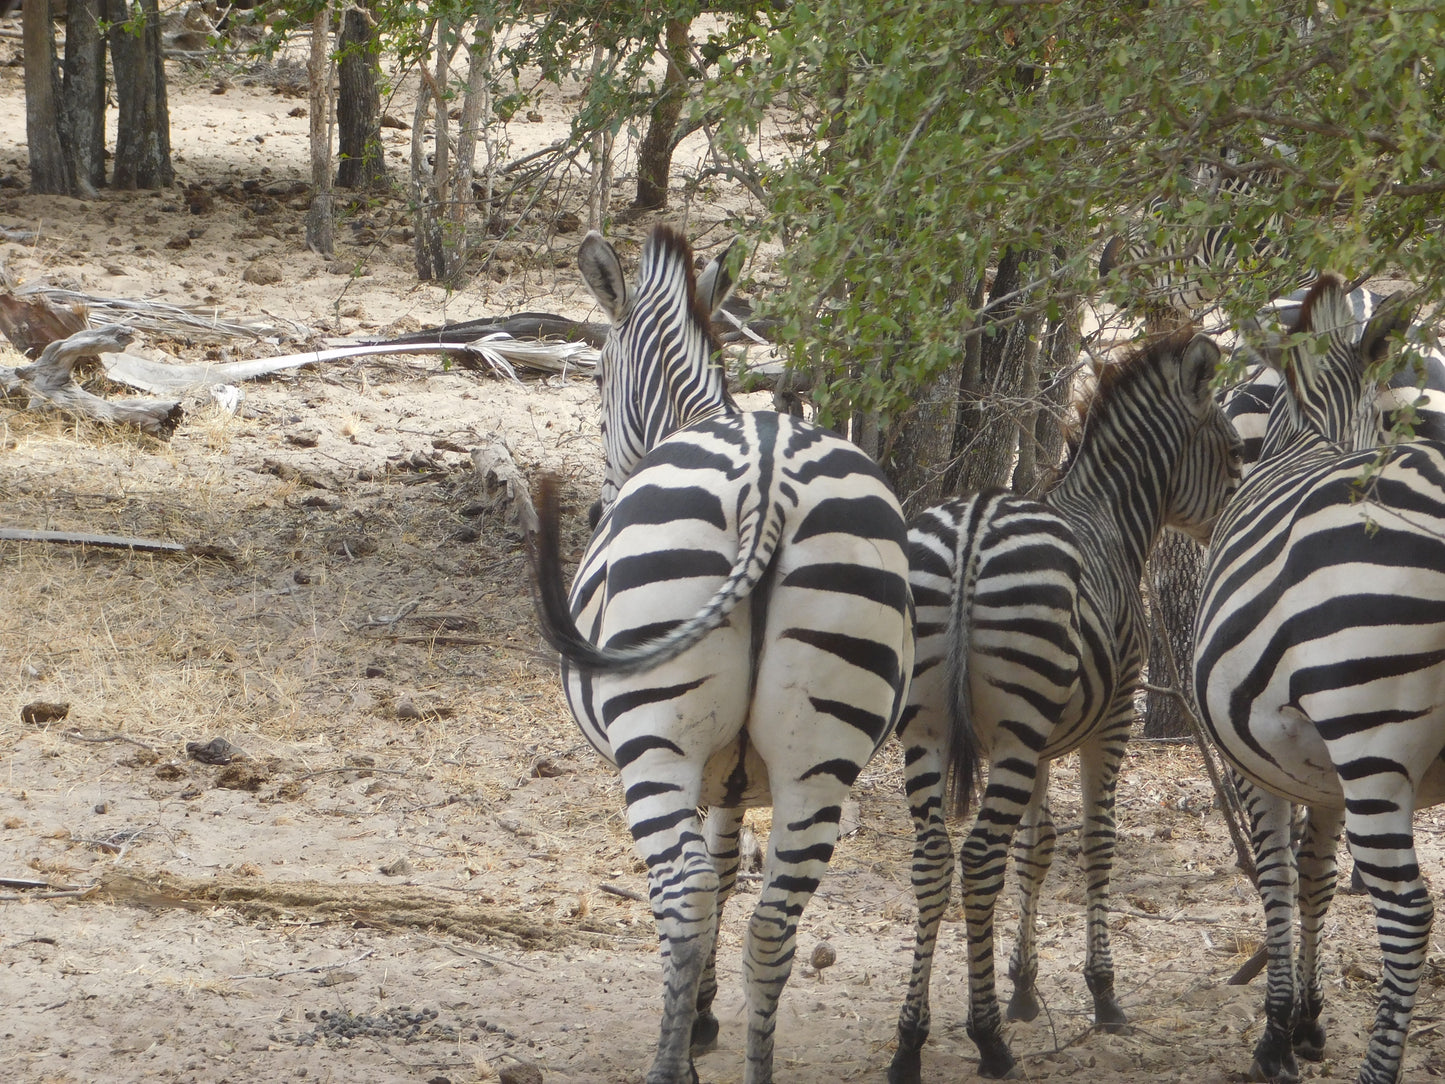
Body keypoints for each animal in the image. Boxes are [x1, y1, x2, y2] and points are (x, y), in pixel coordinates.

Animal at [531, 225, 913, 1081]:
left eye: (596, 378)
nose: (601, 506)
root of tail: (770, 476)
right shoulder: (738, 774)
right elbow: (732, 865)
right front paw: (708, 1013)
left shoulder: (702, 763)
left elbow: (705, 881)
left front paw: (696, 1022)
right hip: (822, 751)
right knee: (772, 923)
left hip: (655, 737)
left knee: (681, 894)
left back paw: (669, 1066)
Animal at [884, 326, 1248, 1081]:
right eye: (1234, 453)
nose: (1236, 527)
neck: (1110, 516)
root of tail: (971, 527)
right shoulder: (1109, 719)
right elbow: (1096, 842)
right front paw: (1101, 993)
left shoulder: (1041, 739)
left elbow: (1039, 847)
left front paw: (1022, 987)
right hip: (1012, 730)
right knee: (977, 860)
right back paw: (988, 1039)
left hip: (931, 732)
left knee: (933, 860)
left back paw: (909, 1041)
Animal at [1190, 273, 1439, 1084]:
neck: (1310, 438)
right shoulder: (1321, 774)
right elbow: (1315, 878)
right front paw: (1306, 1021)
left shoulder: (1253, 761)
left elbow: (1274, 878)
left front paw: (1274, 1034)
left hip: (1370, 738)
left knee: (1407, 914)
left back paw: (1378, 1070)